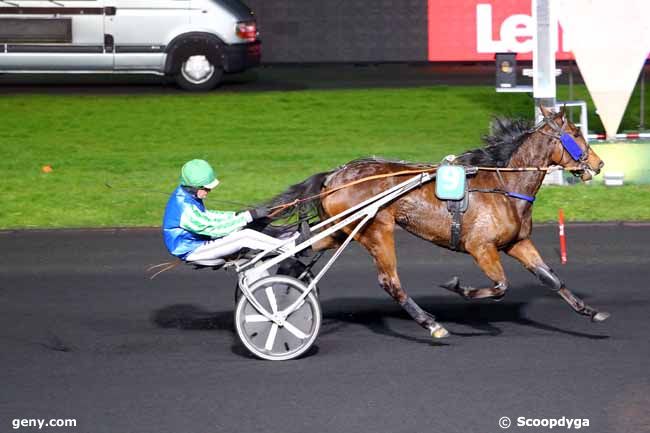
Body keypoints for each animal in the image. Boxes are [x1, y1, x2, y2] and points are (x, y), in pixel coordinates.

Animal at [264, 107, 608, 338]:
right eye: (576, 134)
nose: (599, 163)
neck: (504, 186)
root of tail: (334, 175)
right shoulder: (480, 247)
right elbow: (500, 286)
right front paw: (458, 287)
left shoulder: (517, 243)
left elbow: (551, 278)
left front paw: (590, 311)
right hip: (376, 230)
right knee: (390, 282)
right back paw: (431, 324)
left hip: (341, 230)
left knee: (300, 248)